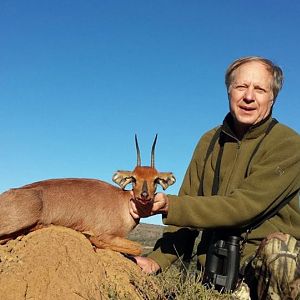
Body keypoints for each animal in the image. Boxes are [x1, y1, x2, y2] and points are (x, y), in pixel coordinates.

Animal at [0, 136, 175, 255]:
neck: (123, 204)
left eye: (156, 179)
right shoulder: (106, 234)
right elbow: (137, 248)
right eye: (133, 178)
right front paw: (89, 236)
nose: (144, 195)